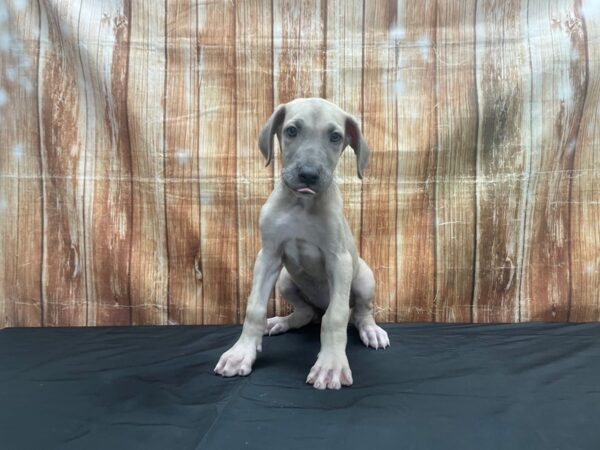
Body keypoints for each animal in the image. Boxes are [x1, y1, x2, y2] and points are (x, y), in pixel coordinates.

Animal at [214, 98, 390, 390]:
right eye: (292, 131)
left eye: (335, 137)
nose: (308, 175)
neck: (301, 204)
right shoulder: (268, 256)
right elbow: (254, 308)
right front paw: (241, 354)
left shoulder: (339, 262)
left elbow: (335, 317)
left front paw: (330, 366)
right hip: (286, 279)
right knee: (306, 313)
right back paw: (280, 322)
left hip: (364, 278)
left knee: (357, 313)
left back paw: (371, 330)